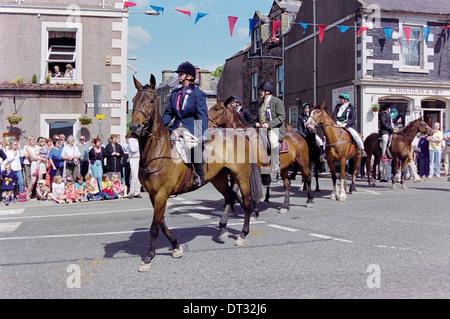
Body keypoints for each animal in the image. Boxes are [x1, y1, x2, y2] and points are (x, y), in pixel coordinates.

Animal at [129, 75, 264, 272]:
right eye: (133, 100)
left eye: (151, 100)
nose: (133, 127)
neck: (158, 149)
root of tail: (240, 134)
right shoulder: (154, 195)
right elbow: (161, 223)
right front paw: (176, 246)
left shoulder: (162, 194)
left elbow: (155, 226)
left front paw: (148, 258)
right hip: (219, 178)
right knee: (230, 197)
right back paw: (222, 230)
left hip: (241, 177)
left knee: (246, 203)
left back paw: (242, 235)